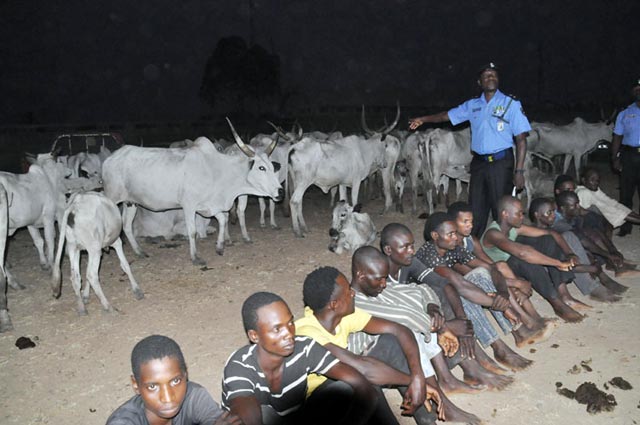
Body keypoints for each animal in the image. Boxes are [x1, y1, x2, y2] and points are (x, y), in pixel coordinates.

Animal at [103, 119, 282, 264]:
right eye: (261, 167)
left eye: (272, 166)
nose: (280, 192)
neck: (217, 170)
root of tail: (111, 158)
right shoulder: (189, 206)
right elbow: (193, 231)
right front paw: (195, 257)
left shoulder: (209, 206)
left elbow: (222, 220)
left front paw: (220, 246)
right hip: (113, 199)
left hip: (131, 202)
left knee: (127, 226)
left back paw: (139, 252)